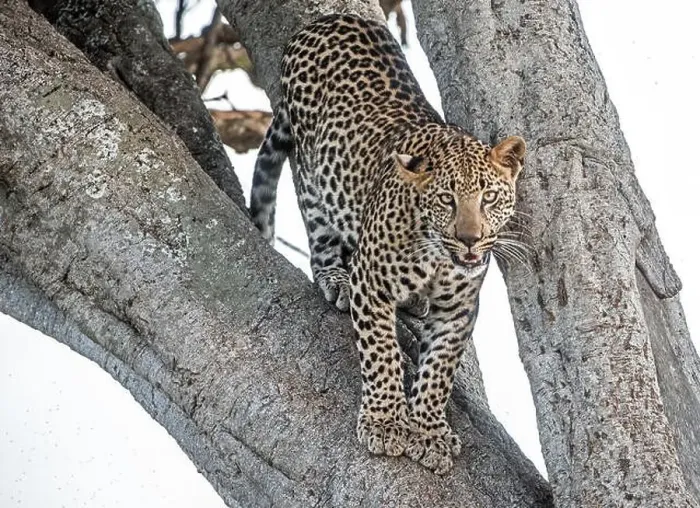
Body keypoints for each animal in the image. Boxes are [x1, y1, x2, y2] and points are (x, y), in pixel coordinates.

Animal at [249, 14, 525, 474]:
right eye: (446, 200)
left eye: (489, 197)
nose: (470, 240)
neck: (437, 256)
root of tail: (324, 21)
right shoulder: (372, 284)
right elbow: (381, 352)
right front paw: (385, 422)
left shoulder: (459, 309)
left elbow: (440, 370)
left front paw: (429, 431)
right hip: (312, 172)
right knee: (317, 224)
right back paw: (333, 277)